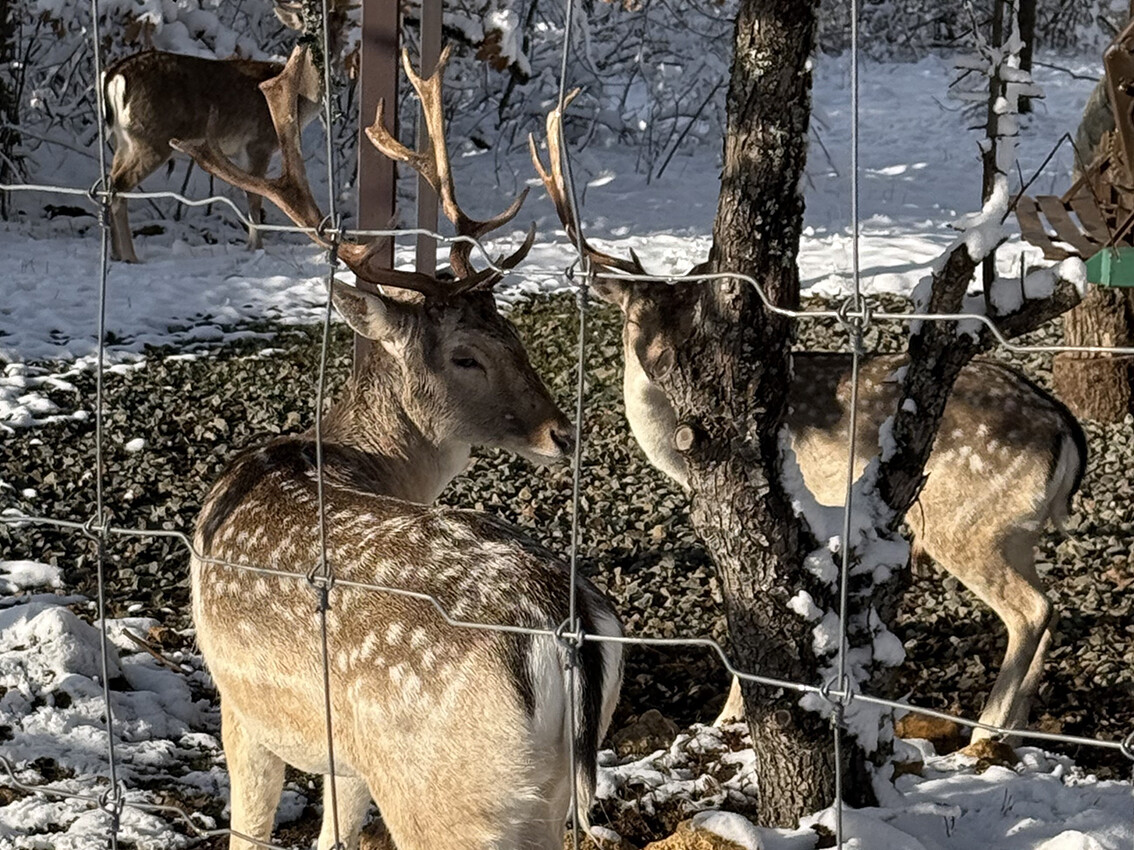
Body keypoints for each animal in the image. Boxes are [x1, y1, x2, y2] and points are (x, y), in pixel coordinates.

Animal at [101, 1, 323, 263]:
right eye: (307, 20)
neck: (301, 104)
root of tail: (115, 74)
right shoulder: (259, 141)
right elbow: (254, 197)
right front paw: (255, 247)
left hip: (124, 140)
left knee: (109, 182)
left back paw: (115, 253)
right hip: (150, 138)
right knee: (119, 186)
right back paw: (130, 256)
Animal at [175, 48, 623, 850]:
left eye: (511, 337)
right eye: (472, 353)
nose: (563, 432)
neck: (350, 456)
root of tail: (562, 626)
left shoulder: (243, 707)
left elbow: (254, 830)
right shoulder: (344, 753)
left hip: (434, 789)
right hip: (537, 796)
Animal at [530, 95, 1086, 743]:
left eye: (694, 316)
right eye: (633, 314)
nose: (661, 361)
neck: (677, 452)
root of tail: (1064, 430)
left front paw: (730, 720)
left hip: (967, 521)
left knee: (1031, 610)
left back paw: (985, 730)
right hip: (1015, 529)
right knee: (1052, 607)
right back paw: (1012, 732)